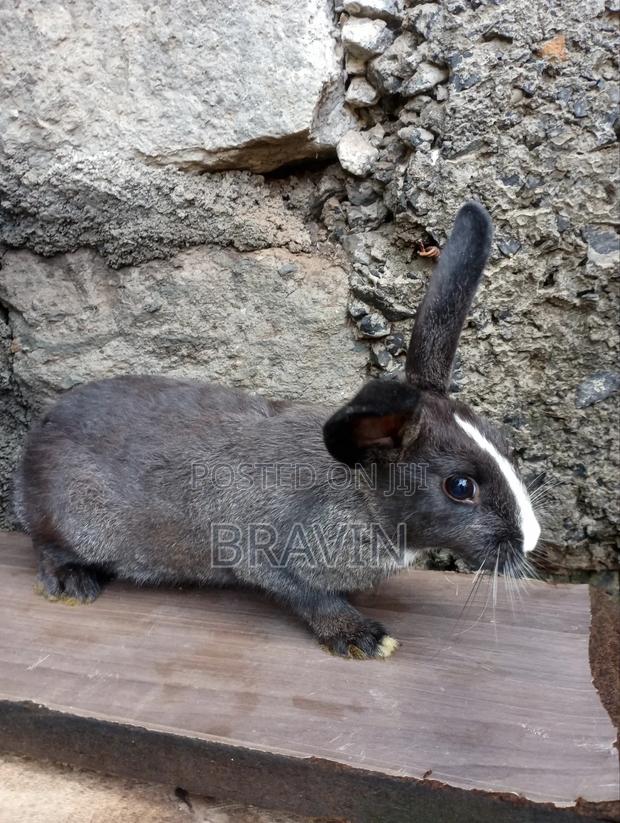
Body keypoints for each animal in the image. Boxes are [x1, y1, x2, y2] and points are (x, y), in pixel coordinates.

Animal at [13, 202, 541, 659]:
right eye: (460, 487)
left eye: (504, 443)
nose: (531, 540)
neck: (363, 498)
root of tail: (36, 438)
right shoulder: (263, 553)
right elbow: (309, 597)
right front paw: (363, 638)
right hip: (67, 519)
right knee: (44, 545)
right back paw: (74, 584)